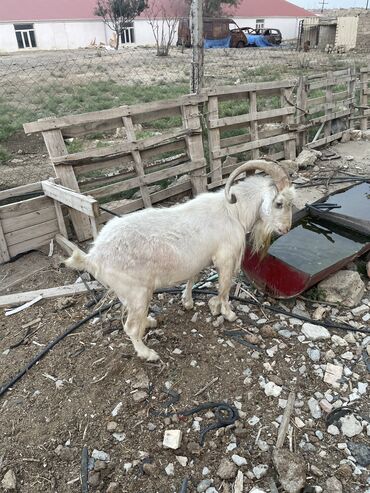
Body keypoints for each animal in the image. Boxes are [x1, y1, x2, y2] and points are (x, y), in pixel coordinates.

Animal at [67, 160, 294, 360]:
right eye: (279, 203)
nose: (286, 229)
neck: (234, 211)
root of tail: (94, 256)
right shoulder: (226, 258)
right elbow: (224, 288)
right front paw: (226, 313)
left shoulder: (199, 258)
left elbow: (193, 277)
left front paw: (188, 302)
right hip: (137, 292)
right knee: (130, 327)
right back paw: (147, 353)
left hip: (128, 293)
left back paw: (149, 322)